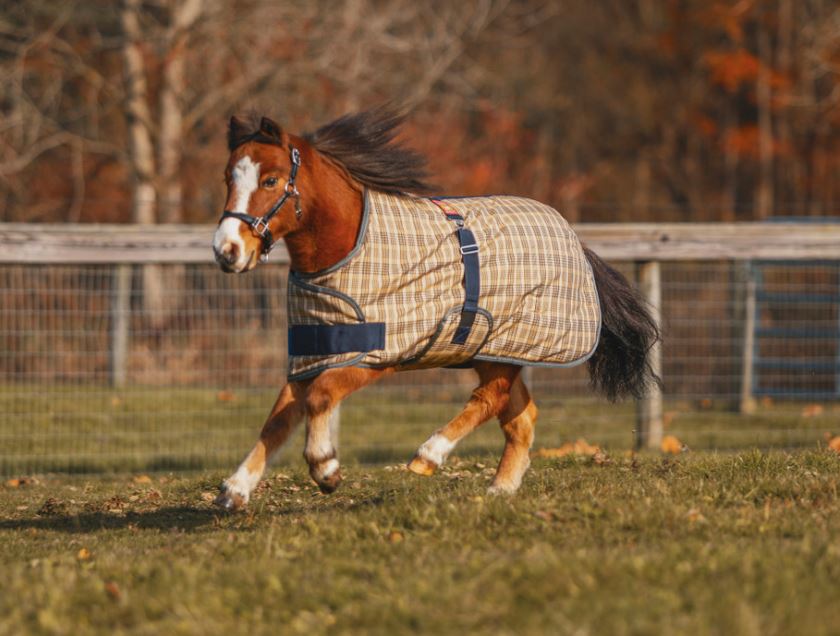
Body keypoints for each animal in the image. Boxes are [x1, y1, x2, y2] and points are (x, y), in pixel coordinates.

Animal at [212, 109, 659, 511]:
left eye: (270, 180)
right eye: (228, 177)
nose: (226, 251)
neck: (345, 249)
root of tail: (574, 239)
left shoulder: (377, 355)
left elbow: (320, 399)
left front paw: (325, 467)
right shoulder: (313, 352)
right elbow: (279, 419)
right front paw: (235, 490)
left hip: (504, 349)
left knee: (490, 399)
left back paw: (428, 455)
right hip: (492, 352)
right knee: (519, 416)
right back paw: (499, 489)